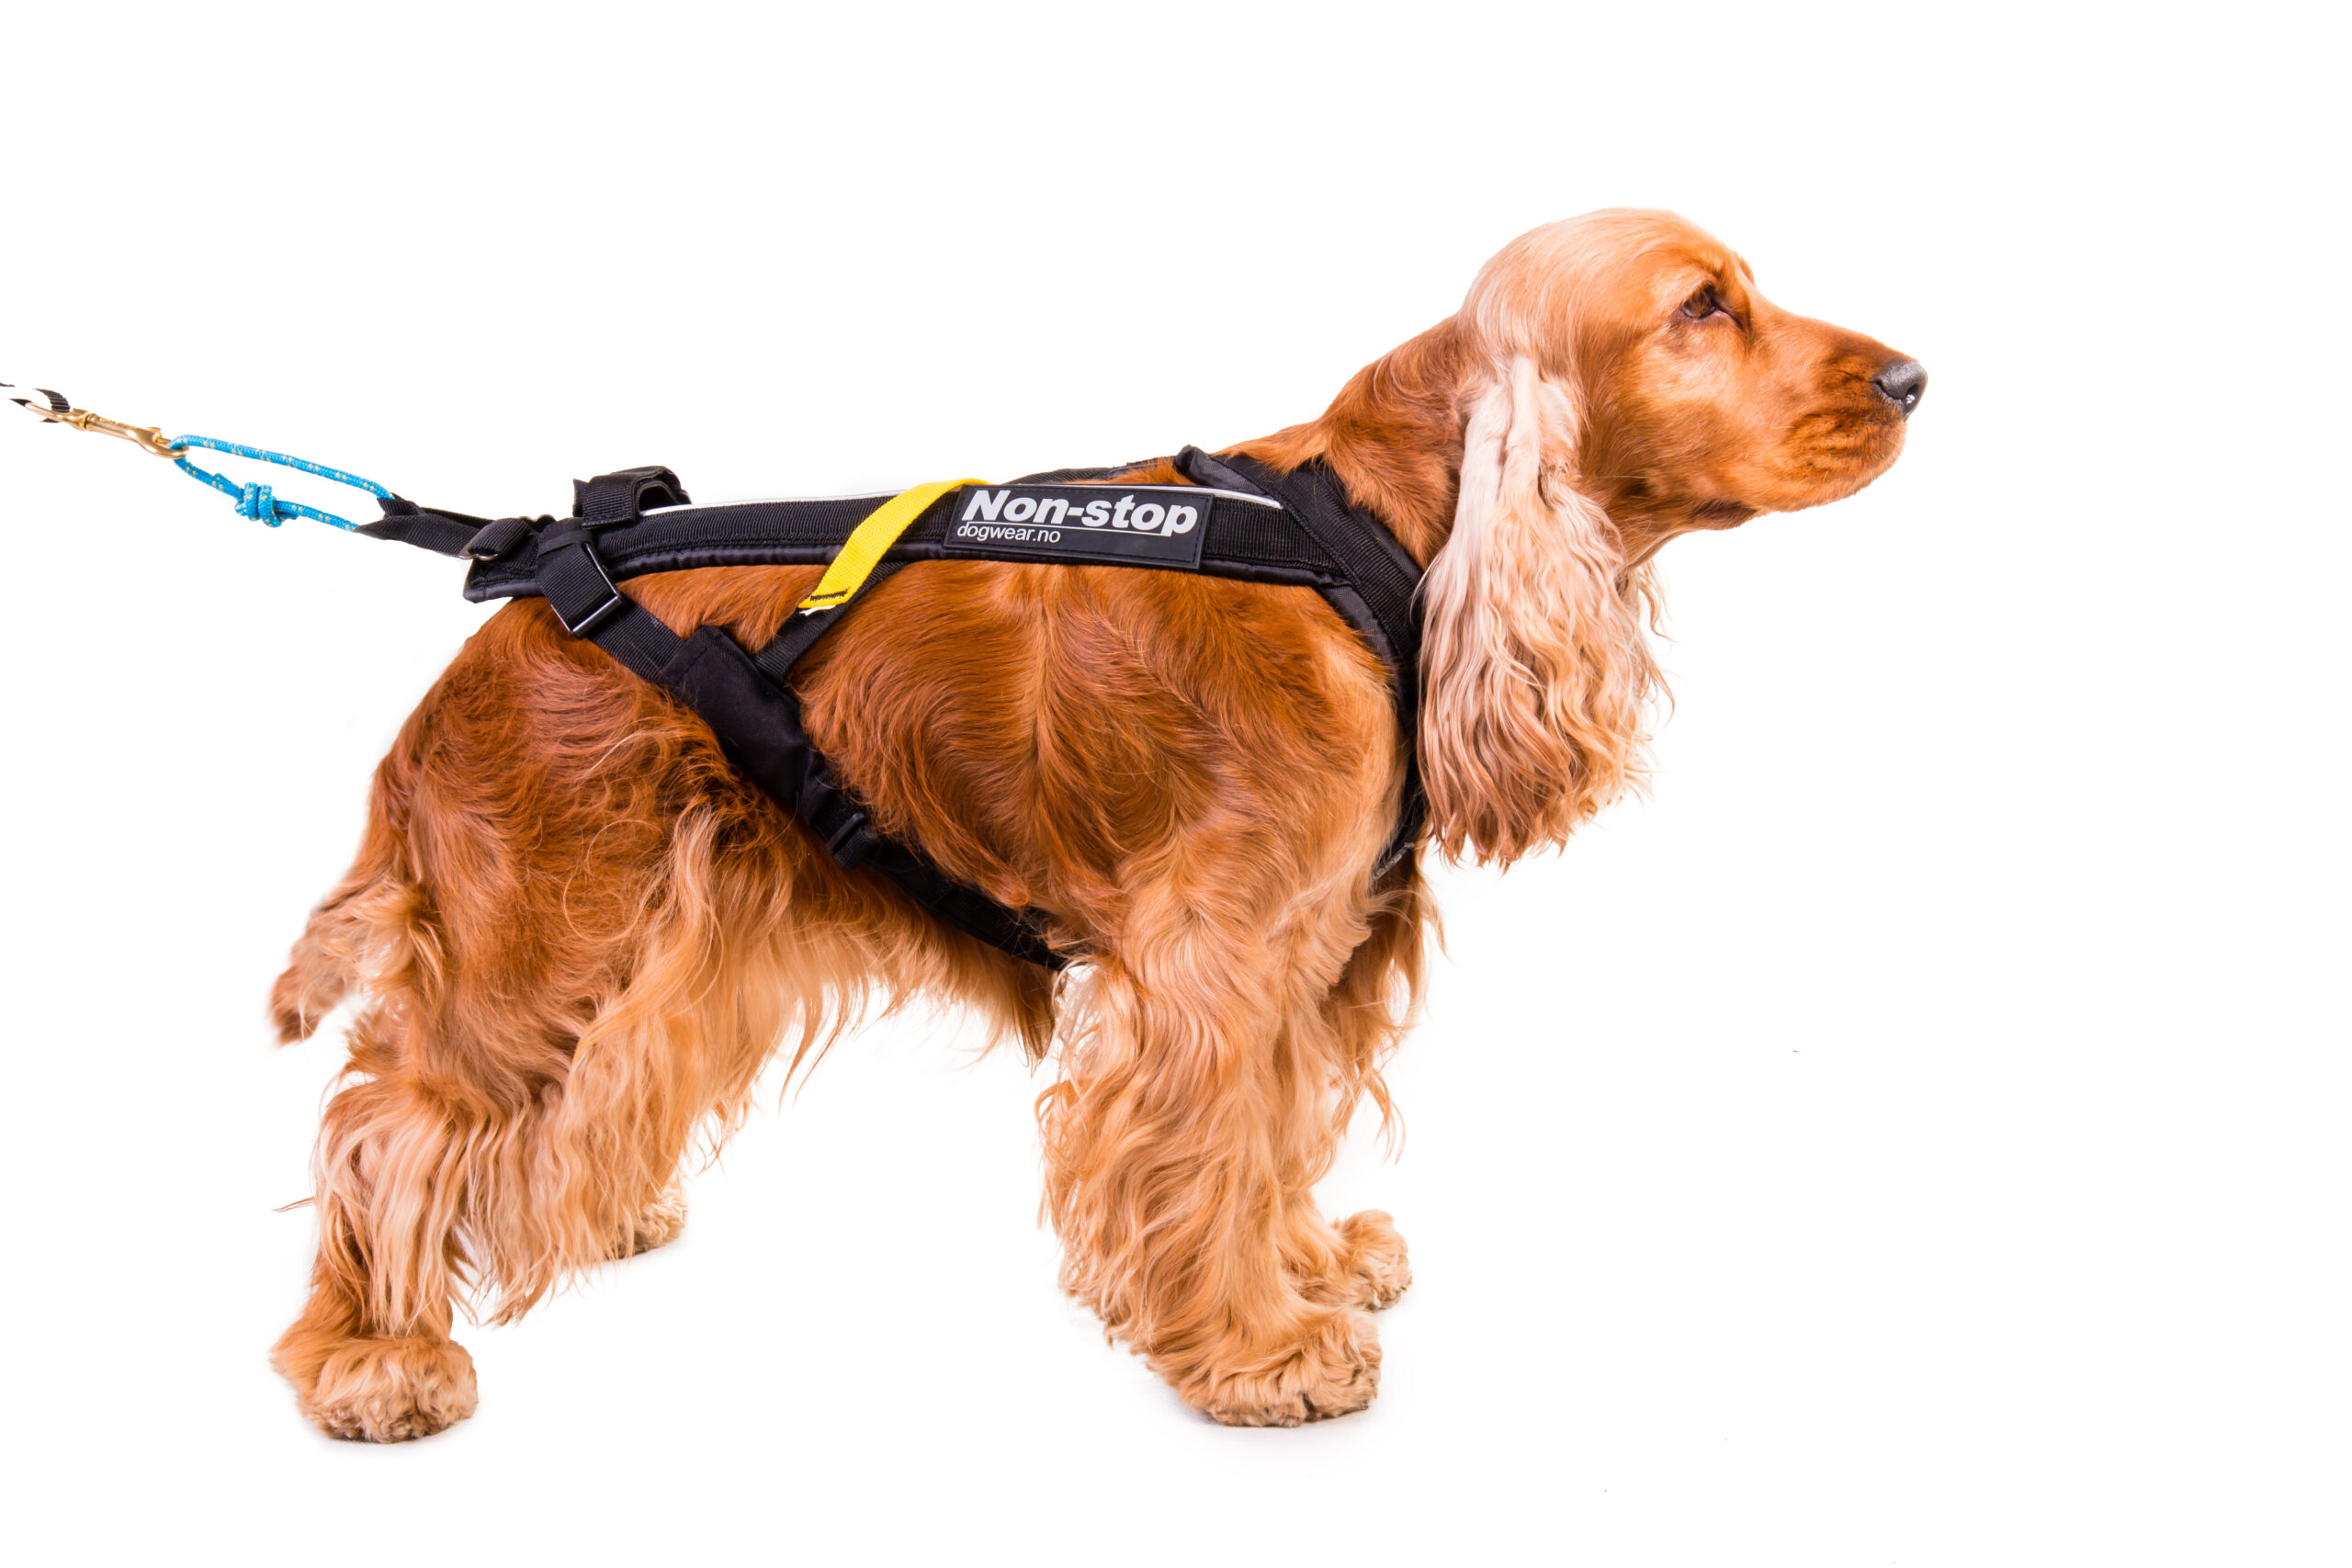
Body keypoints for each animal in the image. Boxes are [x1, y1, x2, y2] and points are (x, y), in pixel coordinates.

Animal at [266, 208, 1923, 1439]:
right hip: (550, 922)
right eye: (1704, 308)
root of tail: (506, 618)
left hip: (679, 924)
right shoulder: (1215, 953)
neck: (1382, 538)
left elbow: (1276, 1129)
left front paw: (1309, 1267)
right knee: (385, 1117)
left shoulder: (1312, 945)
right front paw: (1258, 1347)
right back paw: (373, 1354)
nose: (1914, 378)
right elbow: (1214, 1137)